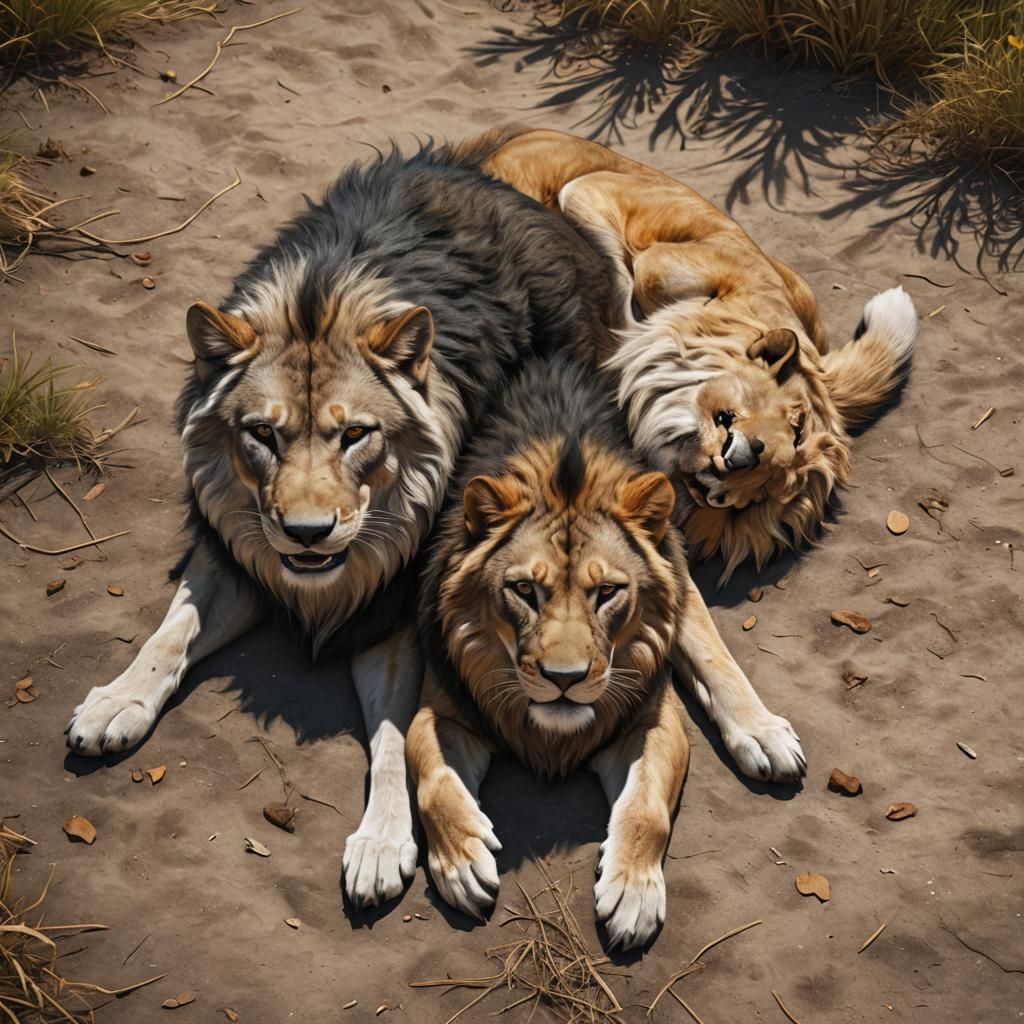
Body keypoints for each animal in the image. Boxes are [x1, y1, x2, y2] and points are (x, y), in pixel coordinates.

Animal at [65, 140, 615, 909]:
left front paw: (382, 842)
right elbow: (168, 635)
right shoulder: (237, 553)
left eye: (355, 434)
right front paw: (117, 703)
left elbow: (393, 737)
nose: (306, 533)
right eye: (262, 434)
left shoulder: (400, 606)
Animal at [410, 354, 805, 949]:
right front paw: (461, 860)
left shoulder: (651, 720)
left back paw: (763, 734)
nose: (565, 678)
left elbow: (646, 809)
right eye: (523, 590)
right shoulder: (446, 709)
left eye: (608, 592)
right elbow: (432, 777)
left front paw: (634, 894)